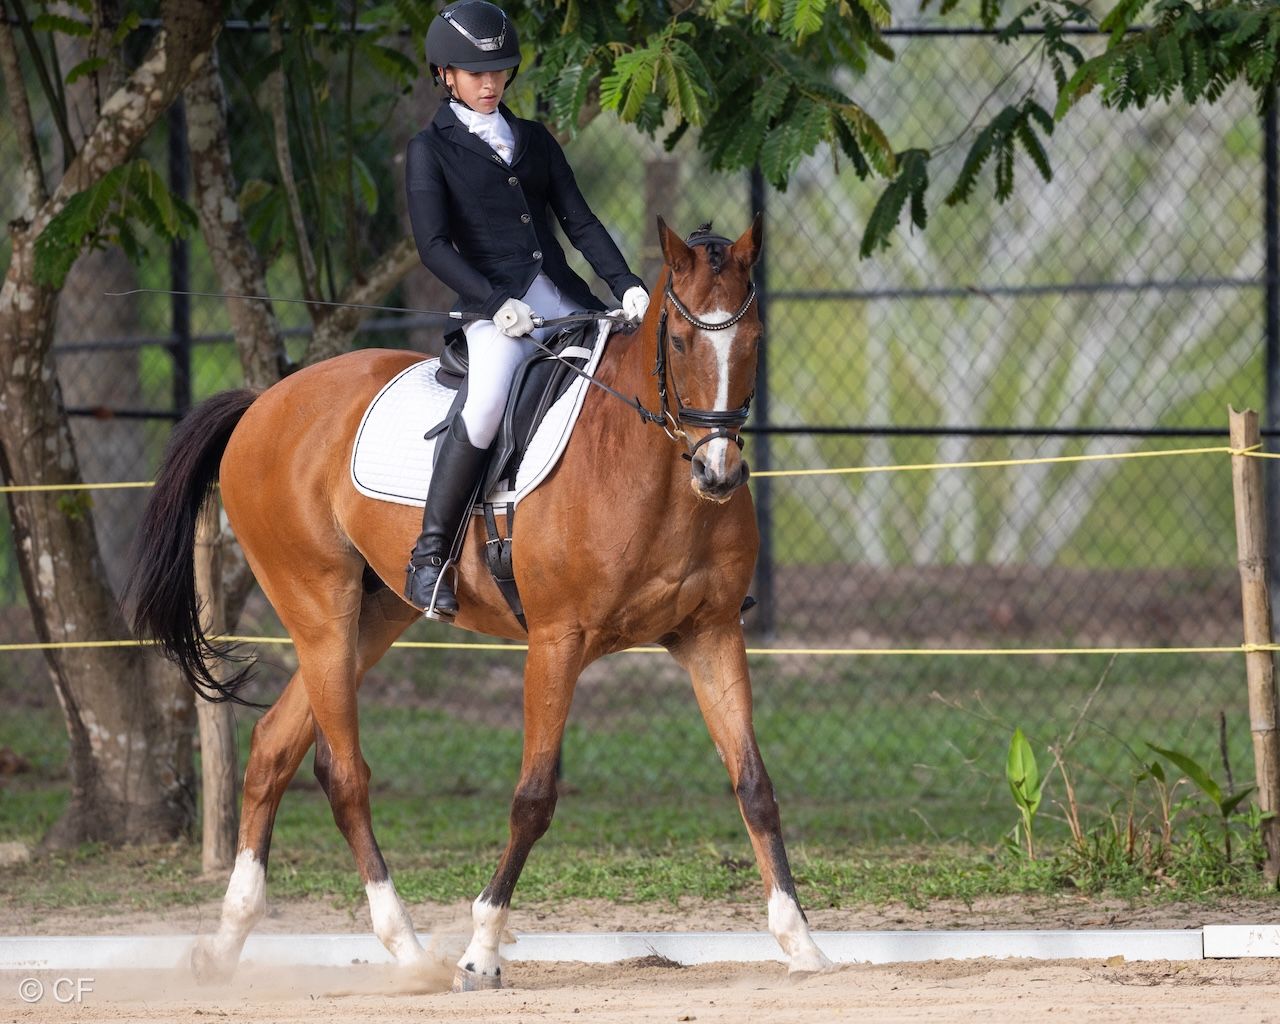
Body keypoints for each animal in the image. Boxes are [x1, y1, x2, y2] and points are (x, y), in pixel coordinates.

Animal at [127, 217, 832, 989]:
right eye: (677, 339)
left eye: (755, 336)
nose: (718, 473)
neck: (654, 473)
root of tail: (263, 402)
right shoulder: (558, 640)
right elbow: (533, 797)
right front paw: (482, 950)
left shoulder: (711, 634)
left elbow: (754, 784)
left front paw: (802, 944)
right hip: (320, 612)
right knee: (341, 774)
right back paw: (409, 952)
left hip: (375, 616)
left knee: (273, 747)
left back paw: (228, 942)